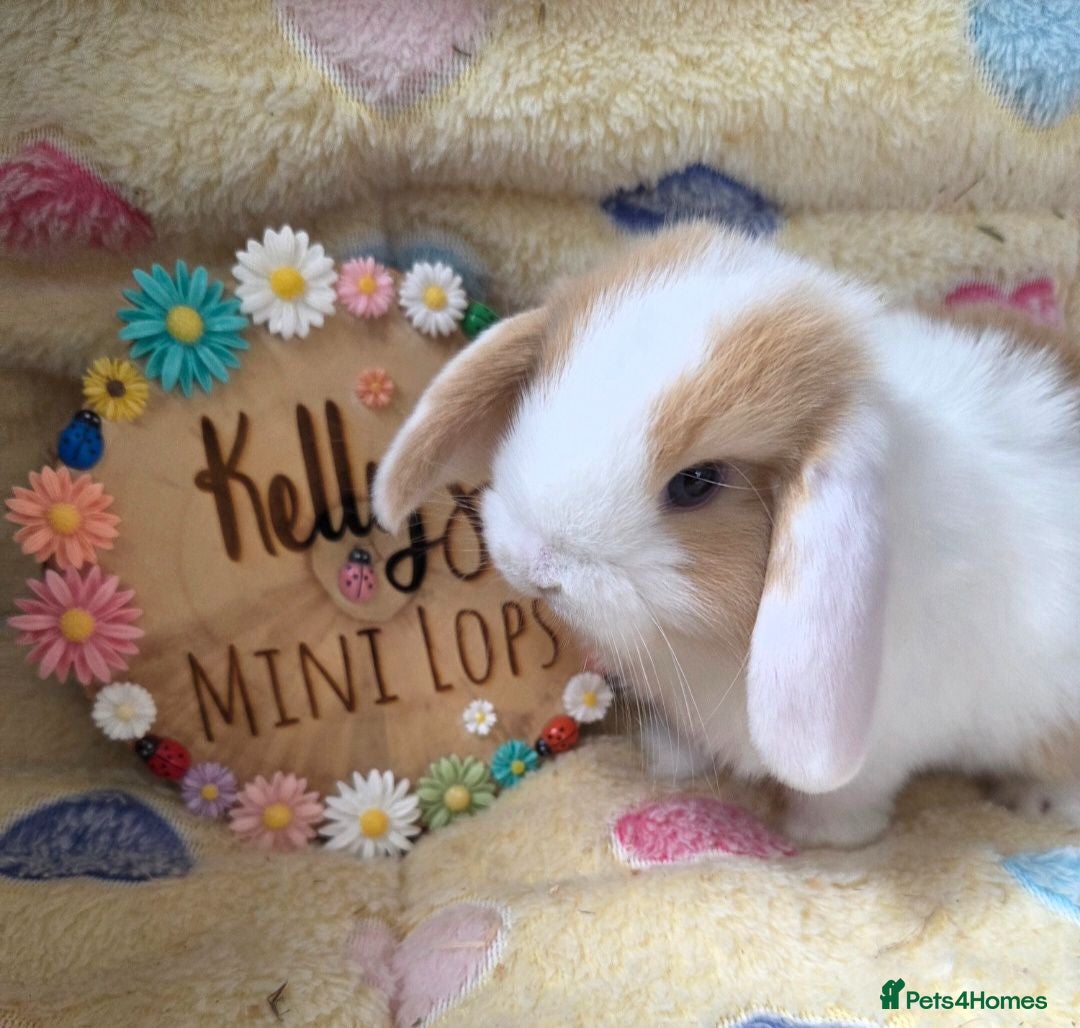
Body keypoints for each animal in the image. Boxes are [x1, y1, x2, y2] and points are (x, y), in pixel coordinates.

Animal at [372, 222, 1080, 847]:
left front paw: (822, 838)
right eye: (537, 393)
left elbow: (847, 795)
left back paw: (1036, 801)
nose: (534, 565)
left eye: (697, 483)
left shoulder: (883, 745)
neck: (704, 644)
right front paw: (668, 757)